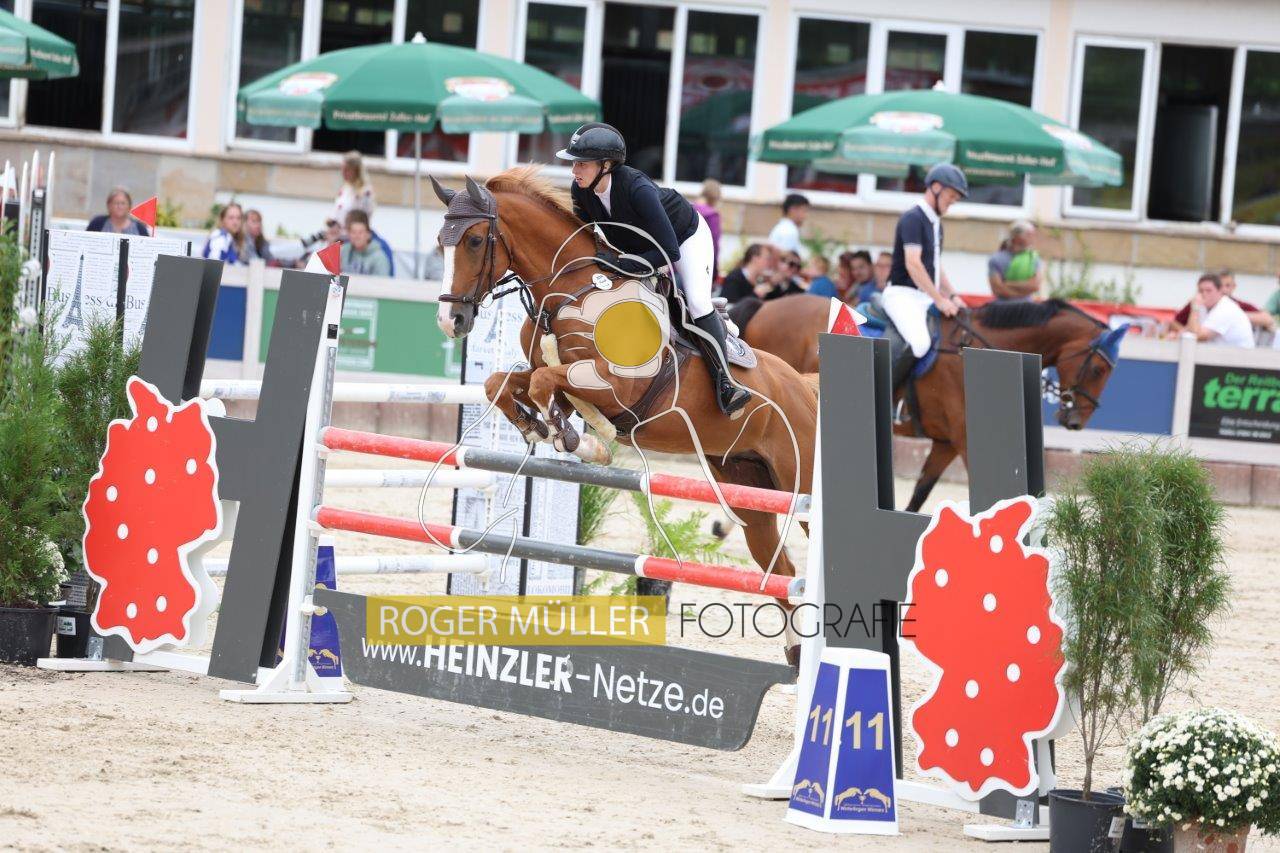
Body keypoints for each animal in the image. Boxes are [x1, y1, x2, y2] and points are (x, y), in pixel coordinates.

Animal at [430, 167, 817, 652]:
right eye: (440, 241)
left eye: (476, 240)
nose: (451, 323)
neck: (568, 293)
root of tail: (804, 387)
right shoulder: (554, 374)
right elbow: (505, 383)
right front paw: (545, 429)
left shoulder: (614, 386)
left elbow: (544, 384)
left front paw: (576, 438)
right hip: (746, 484)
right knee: (781, 569)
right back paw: (795, 653)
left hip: (800, 482)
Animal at [738, 296, 1123, 512]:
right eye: (1099, 369)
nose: (1075, 422)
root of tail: (766, 304)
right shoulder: (965, 440)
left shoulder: (945, 444)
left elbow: (919, 496)